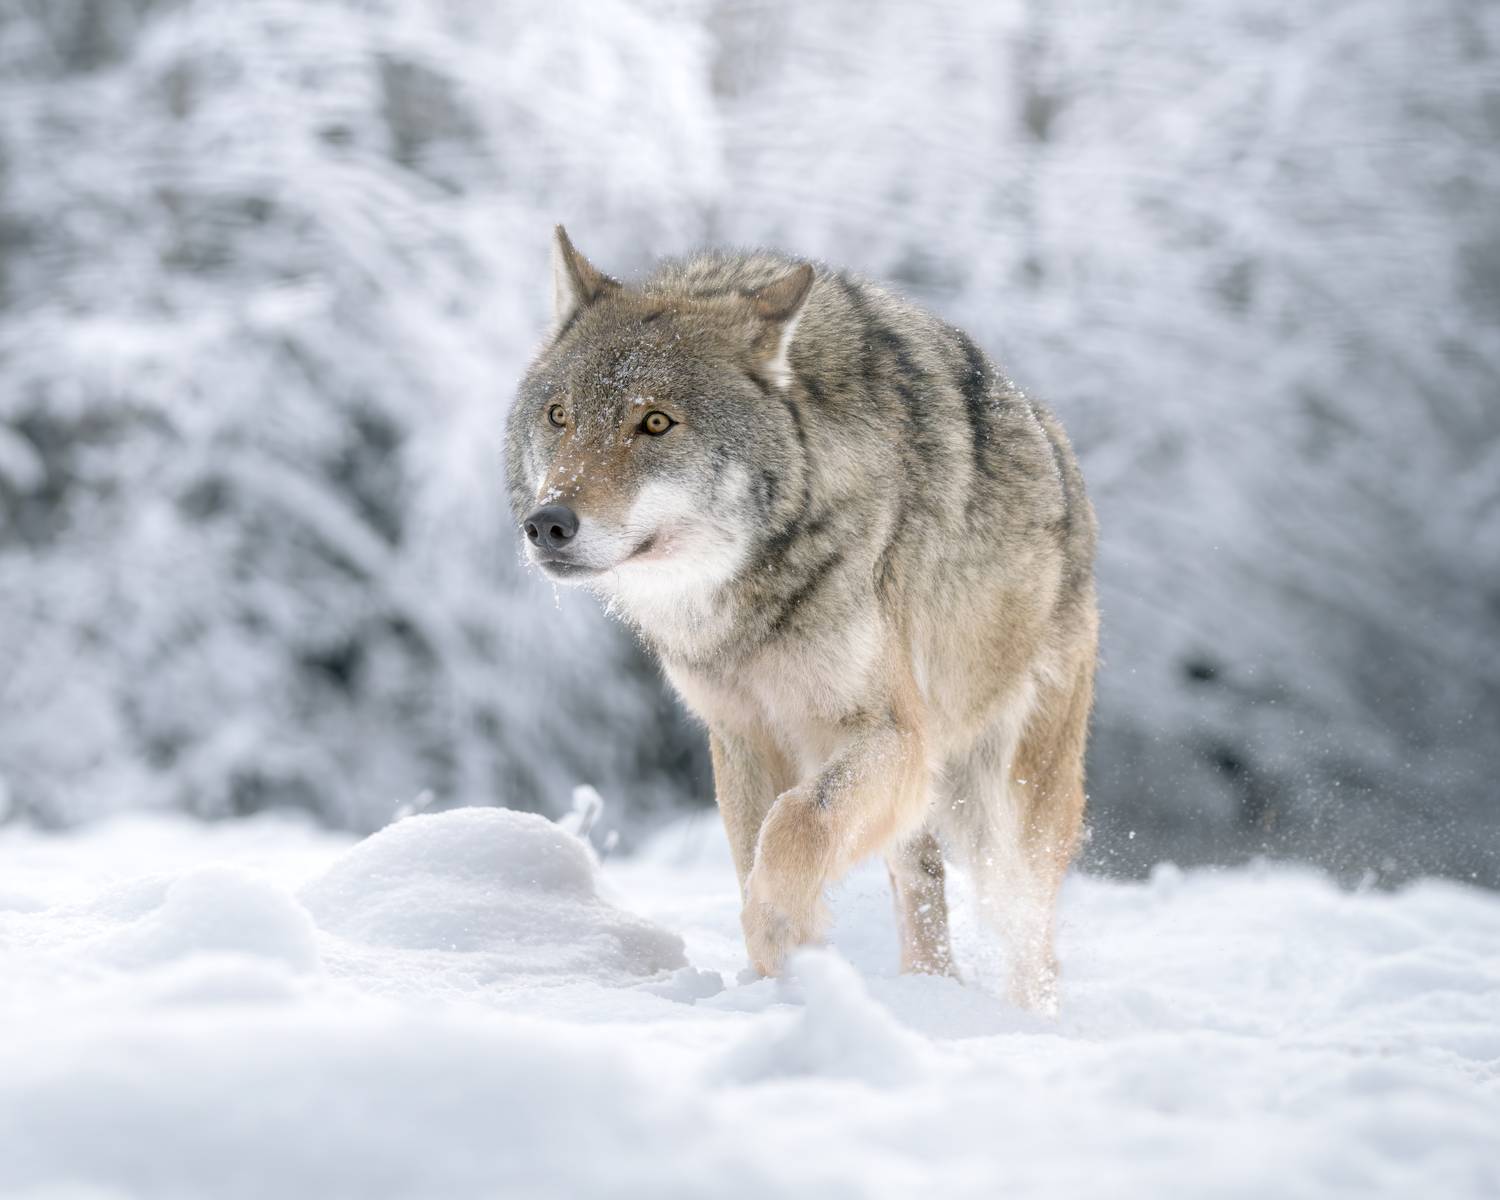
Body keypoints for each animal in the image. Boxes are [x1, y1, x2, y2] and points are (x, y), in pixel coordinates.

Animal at [506, 227, 1098, 1010]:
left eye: (655, 422)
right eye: (559, 417)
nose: (547, 523)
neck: (749, 594)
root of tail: (1059, 448)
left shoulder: (894, 735)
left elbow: (792, 829)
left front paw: (784, 940)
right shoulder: (742, 738)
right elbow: (757, 844)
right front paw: (775, 986)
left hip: (1004, 811)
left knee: (1033, 940)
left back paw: (1025, 1019)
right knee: (923, 890)